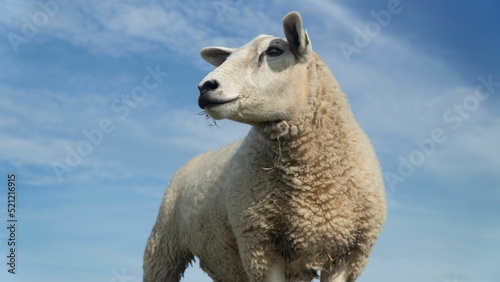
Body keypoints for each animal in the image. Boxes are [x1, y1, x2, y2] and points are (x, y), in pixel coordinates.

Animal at [145, 10, 386, 282]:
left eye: (274, 51)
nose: (205, 87)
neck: (311, 183)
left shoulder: (349, 254)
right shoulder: (260, 246)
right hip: (164, 247)